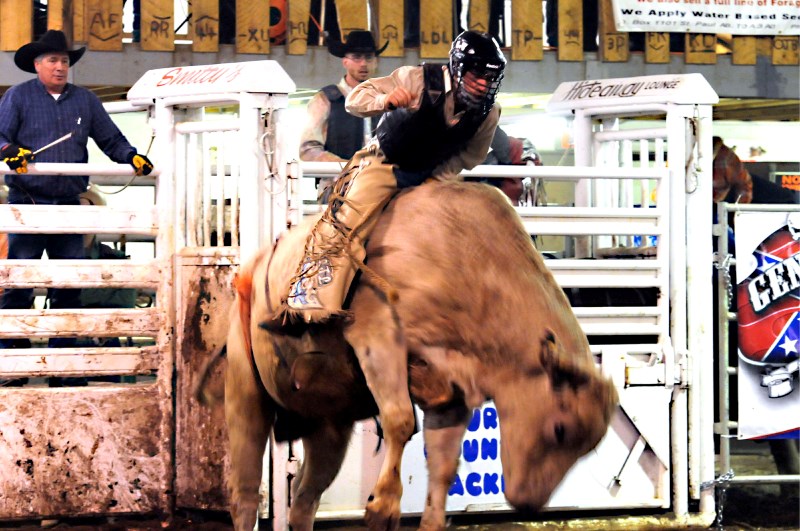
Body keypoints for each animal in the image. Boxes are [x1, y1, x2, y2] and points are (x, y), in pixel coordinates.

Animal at [202, 181, 620, 528]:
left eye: (588, 447)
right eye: (560, 429)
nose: (529, 503)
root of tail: (254, 265)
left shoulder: (452, 393)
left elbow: (444, 465)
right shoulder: (379, 337)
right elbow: (401, 419)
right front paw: (382, 506)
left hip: (328, 425)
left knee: (305, 499)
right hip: (245, 395)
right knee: (244, 494)